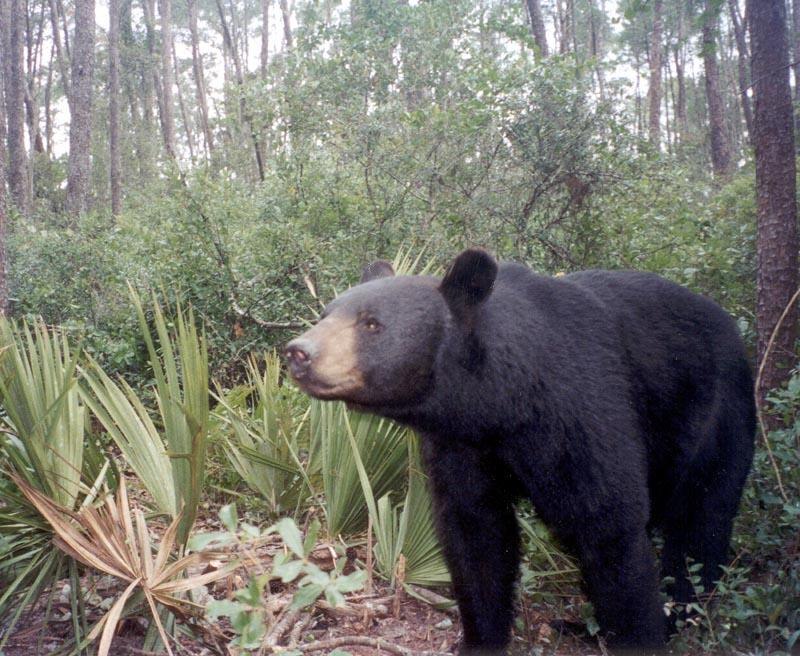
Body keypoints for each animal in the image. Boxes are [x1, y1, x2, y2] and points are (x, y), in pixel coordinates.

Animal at [285, 248, 756, 653]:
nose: (298, 352)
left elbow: (610, 526)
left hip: (715, 416)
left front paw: (640, 632)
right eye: (325, 314)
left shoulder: (584, 411)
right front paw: (480, 639)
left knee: (700, 523)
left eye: (370, 324)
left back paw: (675, 613)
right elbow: (476, 533)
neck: (503, 404)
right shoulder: (462, 445)